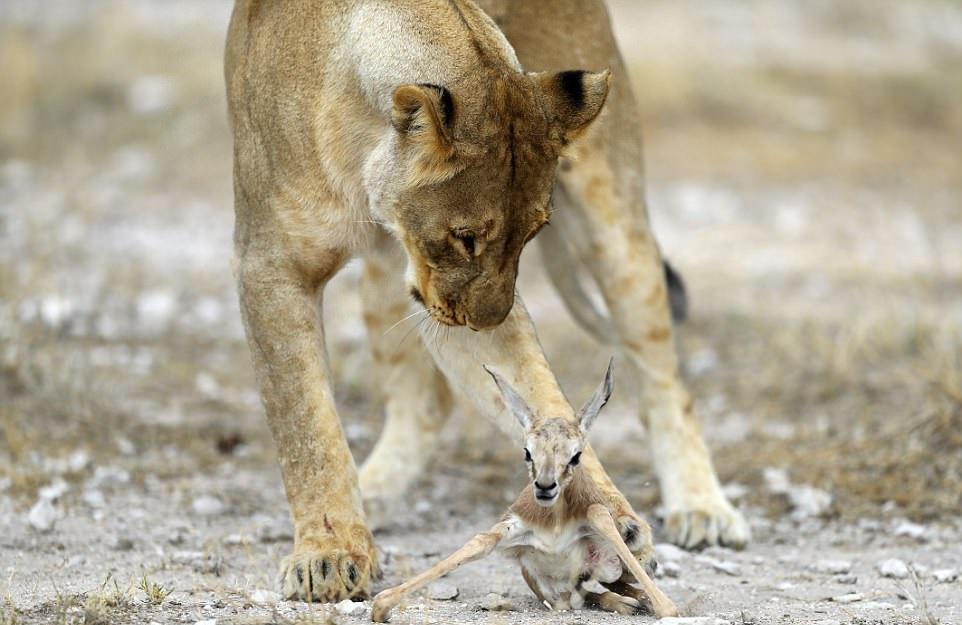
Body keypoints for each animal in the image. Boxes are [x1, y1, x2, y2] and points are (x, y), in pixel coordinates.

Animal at [368, 360, 676, 620]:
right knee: (589, 592)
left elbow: (668, 607)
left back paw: (633, 601)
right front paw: (382, 606)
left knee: (612, 583)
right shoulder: (512, 533)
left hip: (621, 562)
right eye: (528, 452)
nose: (545, 486)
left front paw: (652, 603)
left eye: (576, 456)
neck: (554, 527)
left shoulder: (597, 524)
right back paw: (625, 602)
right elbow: (478, 542)